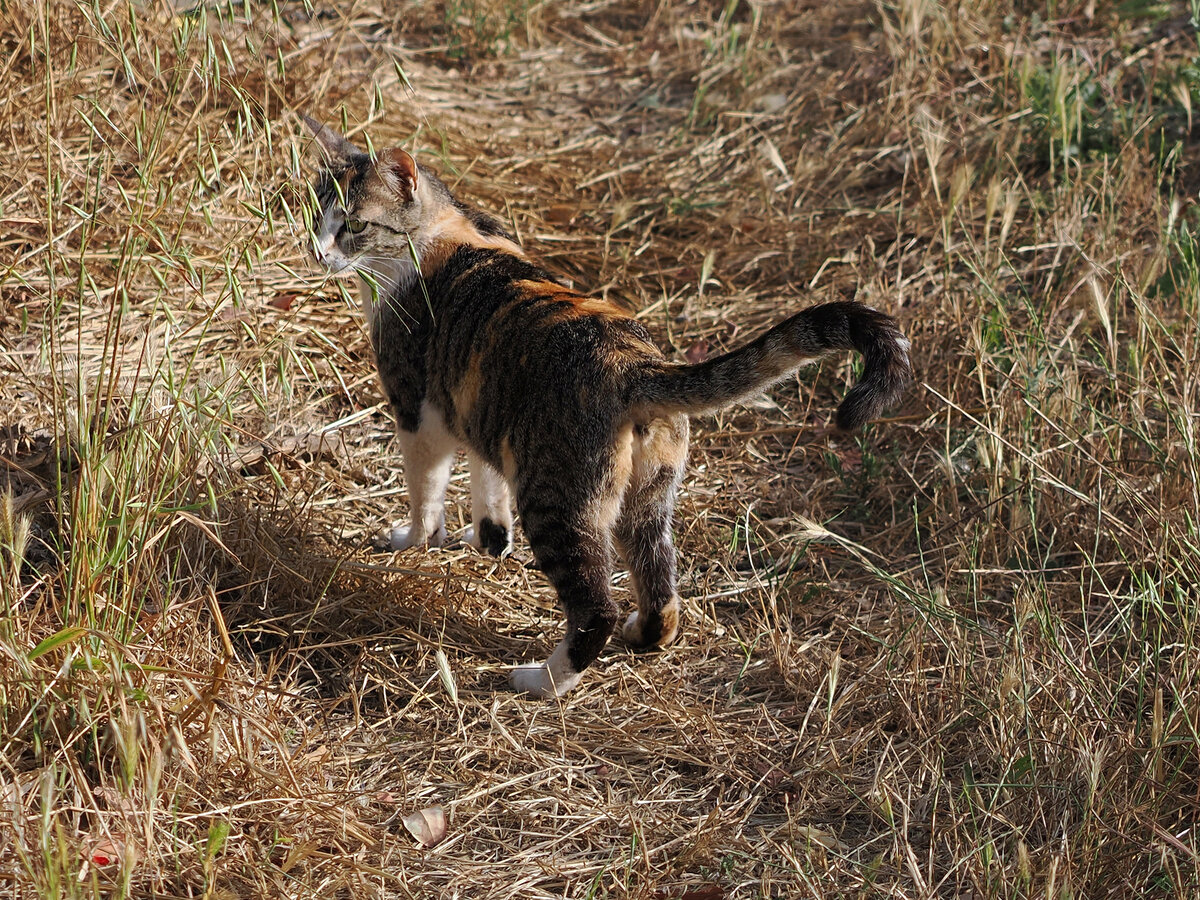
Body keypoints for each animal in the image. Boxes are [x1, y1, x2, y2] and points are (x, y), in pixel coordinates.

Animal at [300, 116, 907, 700]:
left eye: (354, 225)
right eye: (314, 215)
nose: (318, 251)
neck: (442, 228)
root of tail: (634, 368)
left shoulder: (416, 408)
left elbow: (426, 494)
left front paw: (415, 541)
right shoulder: (481, 412)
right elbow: (487, 485)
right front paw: (489, 541)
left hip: (556, 502)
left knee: (597, 610)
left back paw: (541, 681)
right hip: (647, 499)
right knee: (662, 596)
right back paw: (642, 632)